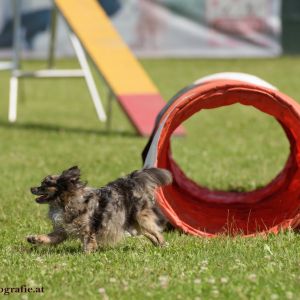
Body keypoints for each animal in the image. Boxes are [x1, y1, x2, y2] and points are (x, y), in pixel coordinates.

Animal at [28, 165, 173, 252]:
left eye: (45, 184)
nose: (31, 188)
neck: (63, 203)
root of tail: (130, 181)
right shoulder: (62, 231)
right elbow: (49, 237)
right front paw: (34, 238)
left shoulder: (88, 229)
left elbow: (89, 242)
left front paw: (87, 254)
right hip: (133, 225)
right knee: (149, 232)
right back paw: (158, 245)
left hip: (141, 218)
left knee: (157, 232)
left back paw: (163, 245)